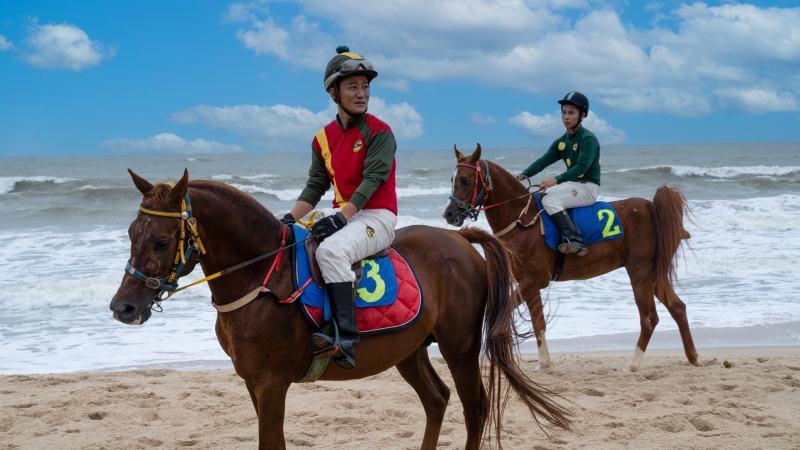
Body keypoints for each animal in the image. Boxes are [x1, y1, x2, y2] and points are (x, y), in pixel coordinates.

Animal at [111, 170, 568, 450]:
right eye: (131, 233)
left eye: (161, 241)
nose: (123, 307)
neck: (260, 275)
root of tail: (459, 239)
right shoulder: (253, 384)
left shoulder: (271, 383)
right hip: (409, 351)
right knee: (437, 400)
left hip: (460, 348)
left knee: (475, 409)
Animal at [444, 145, 700, 372]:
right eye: (452, 179)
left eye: (465, 180)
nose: (449, 214)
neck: (521, 218)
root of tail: (651, 207)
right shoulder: (529, 284)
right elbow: (539, 322)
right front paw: (543, 363)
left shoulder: (533, 281)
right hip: (655, 274)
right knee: (678, 307)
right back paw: (693, 357)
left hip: (640, 273)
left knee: (649, 318)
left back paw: (633, 365)